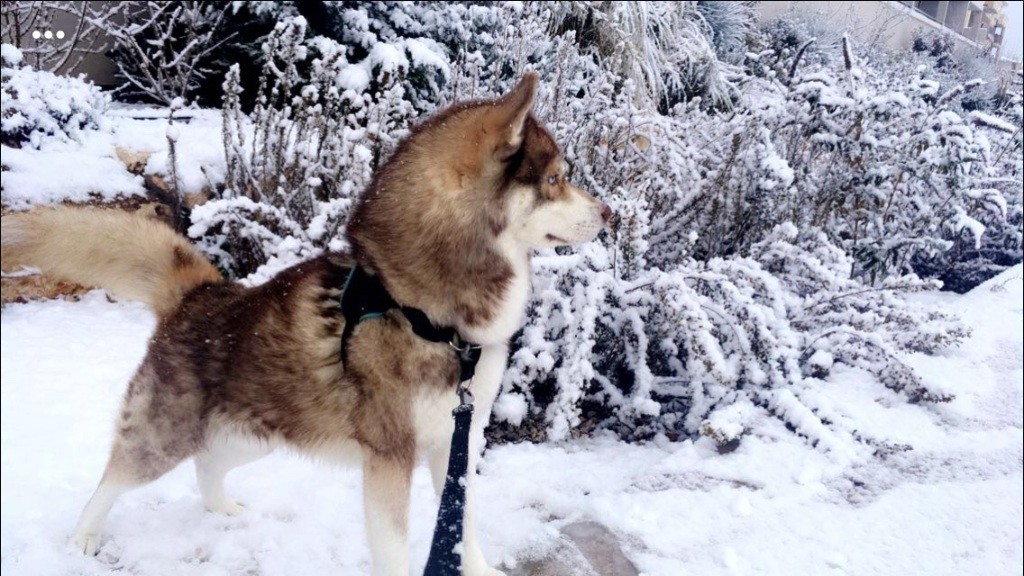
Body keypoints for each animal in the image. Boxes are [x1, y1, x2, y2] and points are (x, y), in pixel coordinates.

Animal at [0, 73, 606, 569]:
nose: (611, 213)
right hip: (165, 434)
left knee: (207, 462)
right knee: (115, 475)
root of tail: (205, 291)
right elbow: (395, 550)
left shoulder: (457, 444)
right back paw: (83, 537)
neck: (423, 312)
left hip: (257, 432)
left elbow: (463, 531)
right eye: (556, 179)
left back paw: (221, 507)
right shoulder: (390, 459)